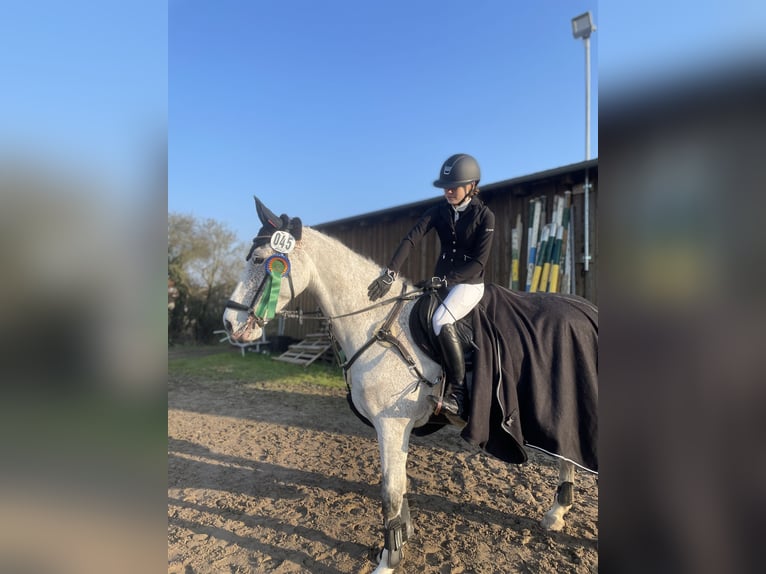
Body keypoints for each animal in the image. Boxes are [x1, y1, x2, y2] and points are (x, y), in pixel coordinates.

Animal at [222, 197, 600, 572]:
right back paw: (556, 512)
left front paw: (389, 559)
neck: (375, 320)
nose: (229, 323)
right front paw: (401, 540)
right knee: (567, 453)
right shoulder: (395, 427)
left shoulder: (391, 423)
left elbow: (390, 490)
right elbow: (399, 486)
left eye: (260, 260)